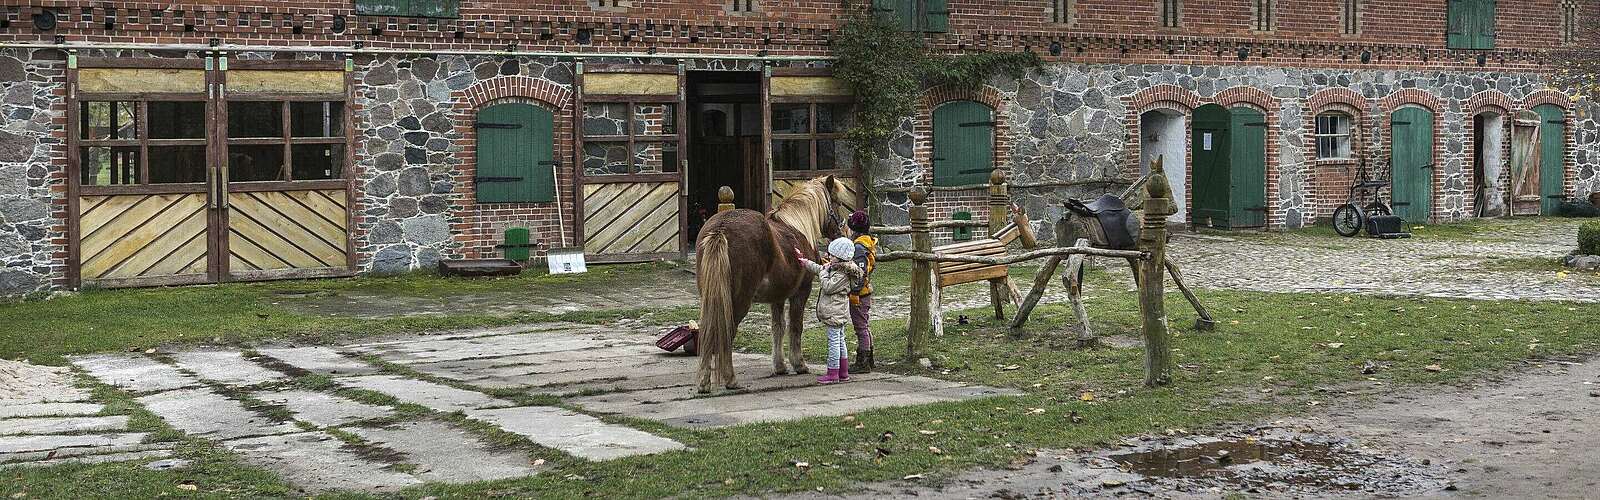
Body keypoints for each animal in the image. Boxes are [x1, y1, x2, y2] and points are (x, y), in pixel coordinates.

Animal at [697, 177, 857, 394]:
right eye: (837, 203)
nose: (843, 232)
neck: (797, 227)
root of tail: (720, 228)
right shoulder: (800, 292)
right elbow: (796, 327)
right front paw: (799, 364)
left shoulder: (778, 297)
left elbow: (778, 327)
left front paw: (779, 366)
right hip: (738, 301)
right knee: (726, 332)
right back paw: (730, 380)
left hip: (711, 298)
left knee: (708, 330)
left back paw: (704, 382)